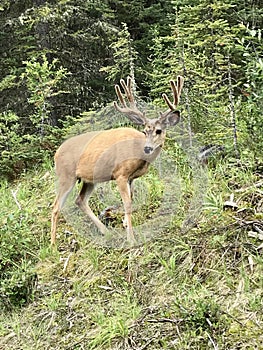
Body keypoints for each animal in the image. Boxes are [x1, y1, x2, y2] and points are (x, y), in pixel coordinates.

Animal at [51, 76, 184, 245]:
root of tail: (56, 154)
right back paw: (52, 244)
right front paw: (131, 238)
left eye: (159, 131)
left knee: (80, 200)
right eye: (145, 131)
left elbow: (131, 198)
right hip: (66, 176)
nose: (148, 148)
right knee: (56, 206)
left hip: (89, 180)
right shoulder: (120, 174)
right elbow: (127, 203)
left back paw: (105, 231)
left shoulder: (131, 177)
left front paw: (125, 224)